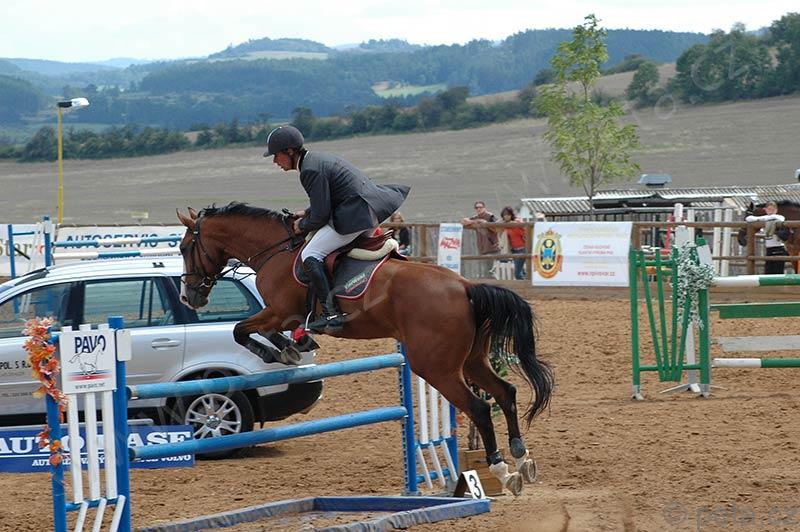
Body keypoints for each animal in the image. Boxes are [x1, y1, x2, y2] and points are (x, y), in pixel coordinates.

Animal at [176, 202, 553, 496]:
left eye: (184, 248)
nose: (189, 296)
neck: (275, 249)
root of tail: (465, 287)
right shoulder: (282, 315)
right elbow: (257, 331)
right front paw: (296, 345)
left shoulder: (280, 311)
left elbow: (242, 330)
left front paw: (281, 352)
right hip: (472, 361)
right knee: (505, 392)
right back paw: (522, 458)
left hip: (436, 368)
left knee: (479, 407)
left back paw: (501, 469)